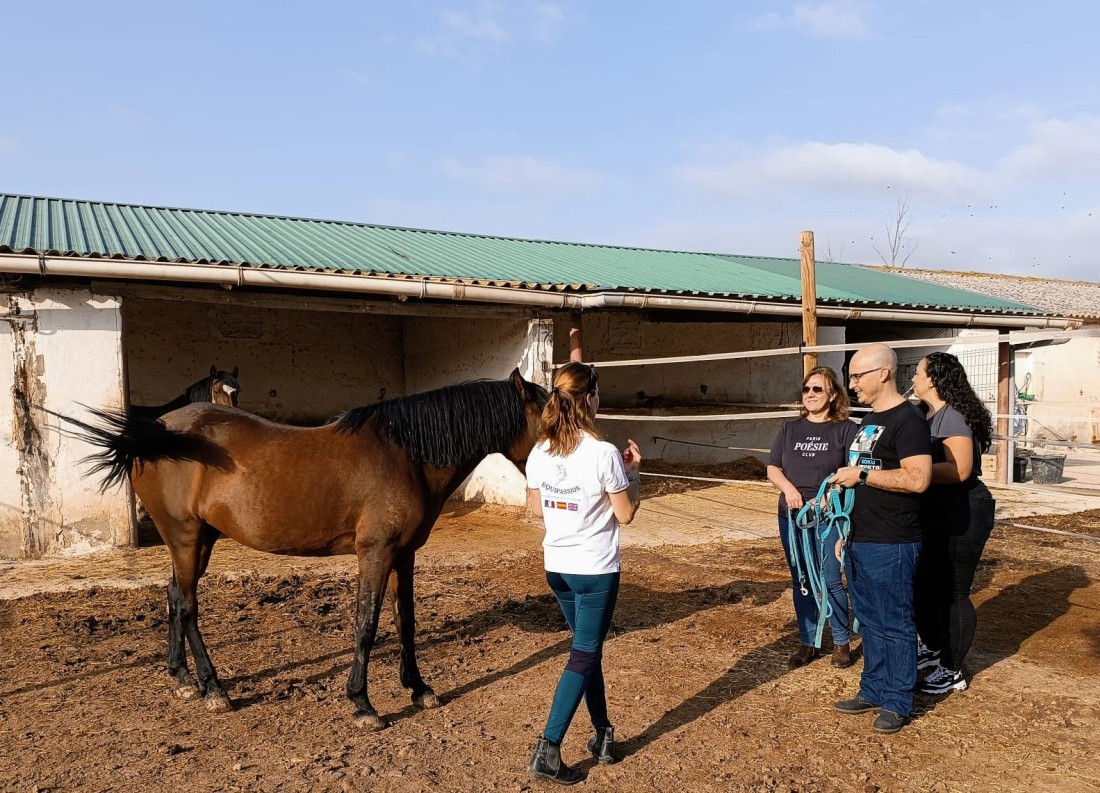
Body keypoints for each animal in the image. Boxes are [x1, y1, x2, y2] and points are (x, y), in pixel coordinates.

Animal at [65, 368, 548, 729]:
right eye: (551, 420)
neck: (405, 455)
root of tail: (156, 432)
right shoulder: (375, 553)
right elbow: (366, 624)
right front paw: (362, 704)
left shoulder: (404, 555)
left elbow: (406, 621)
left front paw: (419, 689)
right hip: (184, 537)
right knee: (186, 606)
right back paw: (214, 689)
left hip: (198, 541)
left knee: (171, 596)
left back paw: (183, 678)